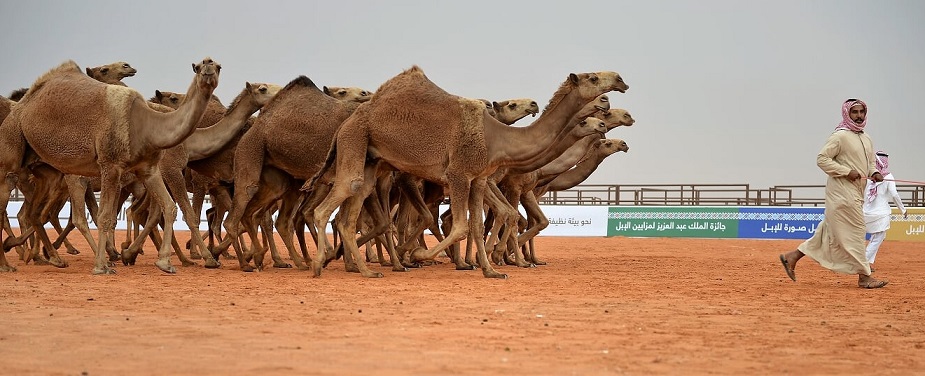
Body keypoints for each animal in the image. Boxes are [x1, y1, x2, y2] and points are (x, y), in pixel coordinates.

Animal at [0, 56, 222, 274]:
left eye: (218, 66)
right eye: (199, 66)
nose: (208, 66)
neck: (148, 124)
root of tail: (22, 103)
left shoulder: (148, 169)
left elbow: (169, 207)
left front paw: (164, 262)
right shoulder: (110, 165)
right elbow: (104, 216)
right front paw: (102, 265)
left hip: (46, 170)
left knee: (34, 211)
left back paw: (49, 257)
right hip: (12, 144)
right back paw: (10, 263)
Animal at [310, 67, 628, 280]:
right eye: (593, 78)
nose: (620, 81)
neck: (498, 138)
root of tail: (349, 120)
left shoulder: (478, 179)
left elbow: (475, 224)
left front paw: (490, 270)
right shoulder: (459, 174)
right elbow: (461, 225)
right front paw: (421, 255)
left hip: (371, 159)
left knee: (351, 208)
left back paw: (365, 270)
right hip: (355, 140)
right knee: (332, 203)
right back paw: (321, 264)